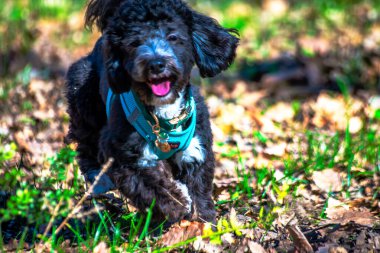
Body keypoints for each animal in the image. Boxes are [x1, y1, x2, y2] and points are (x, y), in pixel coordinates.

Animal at [65, 0, 238, 224]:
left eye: (173, 37)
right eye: (134, 43)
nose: (156, 64)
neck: (163, 115)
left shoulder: (196, 150)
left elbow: (199, 189)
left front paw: (203, 222)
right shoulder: (122, 156)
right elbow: (149, 187)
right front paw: (177, 203)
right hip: (84, 96)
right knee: (85, 144)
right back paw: (98, 180)